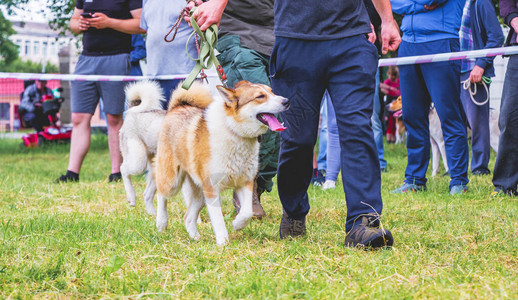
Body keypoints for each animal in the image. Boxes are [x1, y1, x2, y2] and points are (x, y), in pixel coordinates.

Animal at [120, 81, 166, 214]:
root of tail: (132, 111)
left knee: (147, 194)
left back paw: (152, 214)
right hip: (138, 162)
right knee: (123, 169)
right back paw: (131, 197)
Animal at [154, 81, 292, 245]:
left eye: (272, 91)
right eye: (260, 96)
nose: (286, 101)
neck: (235, 132)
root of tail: (177, 107)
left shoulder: (245, 182)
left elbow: (247, 212)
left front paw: (237, 224)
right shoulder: (212, 189)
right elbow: (218, 219)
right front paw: (223, 242)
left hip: (200, 194)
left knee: (188, 217)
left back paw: (195, 237)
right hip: (172, 181)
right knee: (161, 194)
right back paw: (161, 222)